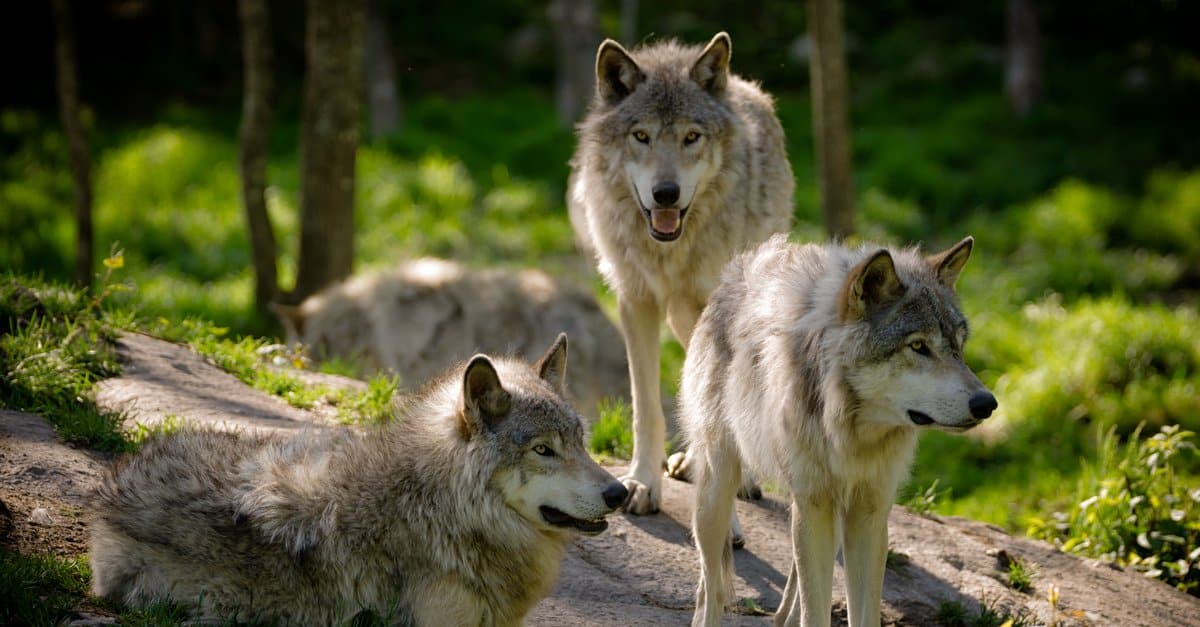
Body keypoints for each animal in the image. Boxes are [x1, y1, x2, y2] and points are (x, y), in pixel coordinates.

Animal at [568, 32, 794, 515]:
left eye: (692, 137)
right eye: (642, 136)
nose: (666, 193)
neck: (668, 250)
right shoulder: (635, 301)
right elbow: (646, 407)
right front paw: (641, 483)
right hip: (678, 315)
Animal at [682, 235, 997, 627]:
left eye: (959, 346)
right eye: (918, 346)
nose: (987, 403)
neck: (850, 433)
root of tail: (734, 273)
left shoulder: (869, 512)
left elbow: (862, 612)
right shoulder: (814, 504)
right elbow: (814, 610)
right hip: (718, 492)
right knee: (711, 584)